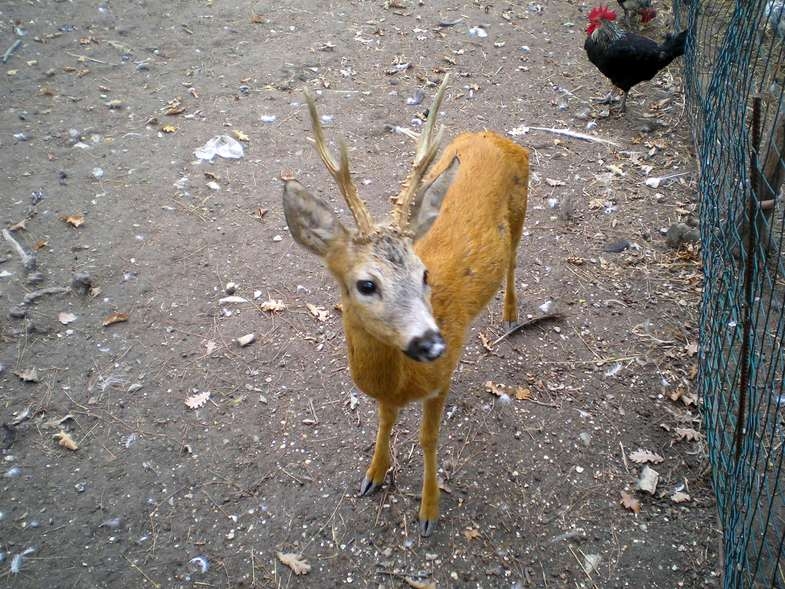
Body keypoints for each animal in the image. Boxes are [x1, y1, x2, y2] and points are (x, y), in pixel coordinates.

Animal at [278, 76, 528, 536]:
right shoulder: (385, 395)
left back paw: (511, 315)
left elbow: (429, 438)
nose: (432, 343)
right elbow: (385, 420)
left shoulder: (441, 380)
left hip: (521, 214)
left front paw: (428, 511)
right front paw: (374, 475)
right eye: (366, 284)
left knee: (515, 260)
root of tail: (499, 137)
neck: (401, 381)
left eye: (424, 273)